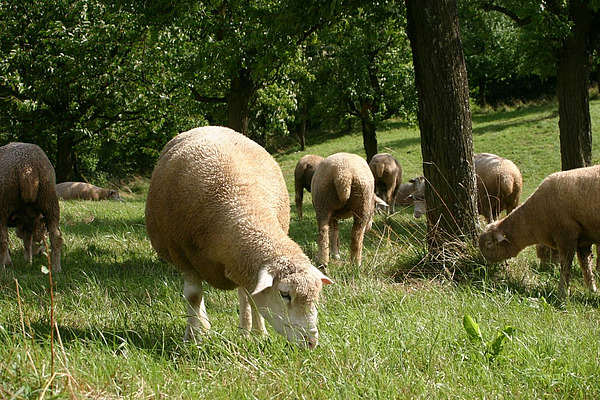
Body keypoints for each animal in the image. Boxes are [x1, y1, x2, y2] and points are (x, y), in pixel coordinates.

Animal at [0, 142, 63, 270]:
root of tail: (27, 168)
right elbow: (27, 242)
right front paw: (27, 261)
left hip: (4, 204)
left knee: (2, 242)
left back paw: (2, 268)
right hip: (49, 198)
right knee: (56, 237)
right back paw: (56, 268)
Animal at [145, 126, 332, 348]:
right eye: (285, 294)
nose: (311, 342)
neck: (241, 205)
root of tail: (208, 126)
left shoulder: (245, 264)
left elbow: (253, 297)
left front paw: (260, 335)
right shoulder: (183, 256)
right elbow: (193, 296)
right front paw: (193, 339)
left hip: (241, 262)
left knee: (244, 294)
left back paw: (244, 331)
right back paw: (205, 327)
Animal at [478, 164, 600, 298]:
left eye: (489, 243)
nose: (482, 263)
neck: (535, 214)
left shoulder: (566, 235)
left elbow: (565, 265)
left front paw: (562, 292)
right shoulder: (584, 239)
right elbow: (585, 263)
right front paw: (592, 288)